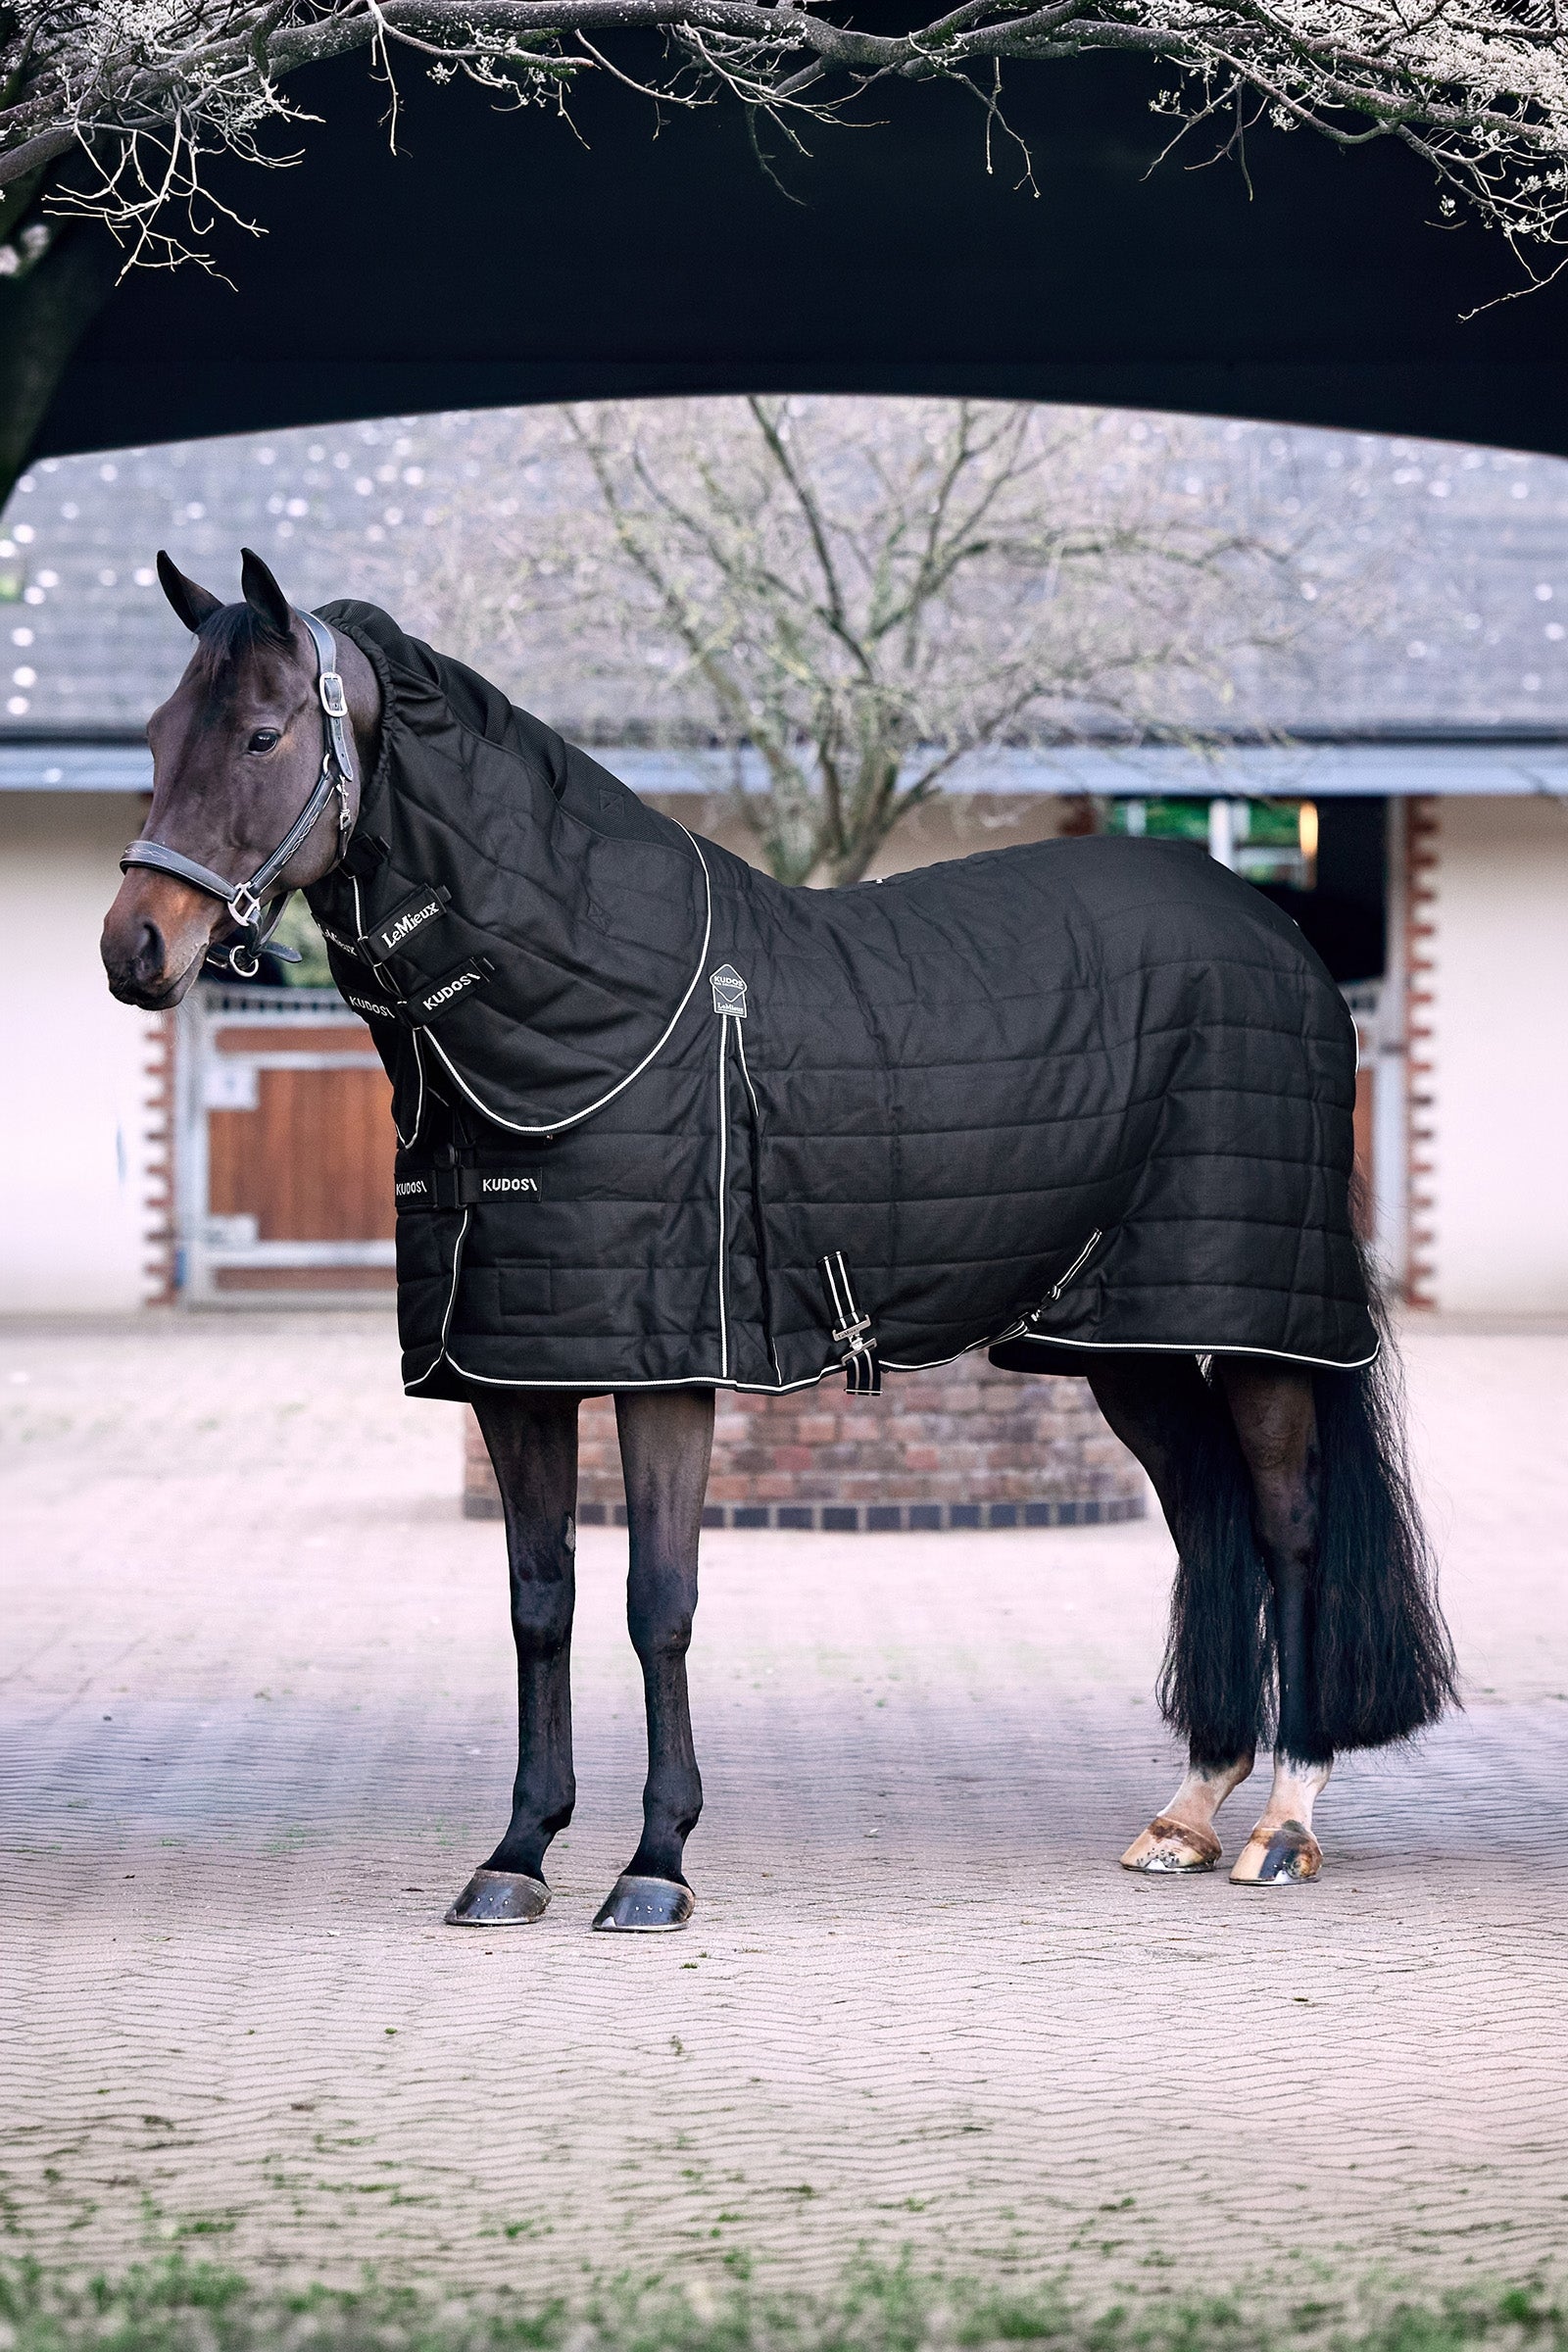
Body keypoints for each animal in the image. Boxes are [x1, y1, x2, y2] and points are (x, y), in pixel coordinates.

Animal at [101, 550, 1456, 1932]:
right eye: (153, 735)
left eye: (263, 735)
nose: (135, 946)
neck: (590, 1008)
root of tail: (1275, 937)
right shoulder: (516, 1372)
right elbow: (542, 1605)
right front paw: (519, 1852)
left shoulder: (669, 1369)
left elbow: (657, 1604)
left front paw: (655, 1863)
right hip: (1123, 1340)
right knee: (1204, 1519)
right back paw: (1187, 1812)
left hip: (1257, 1330)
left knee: (1285, 1529)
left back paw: (1283, 1824)